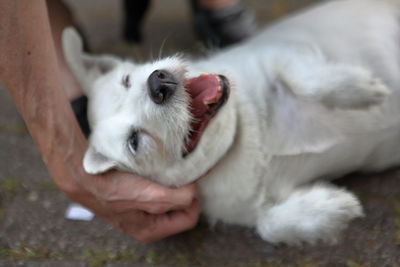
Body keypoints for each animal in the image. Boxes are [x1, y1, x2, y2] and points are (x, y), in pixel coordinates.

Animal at [62, 0, 400, 246]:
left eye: (126, 80)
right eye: (134, 141)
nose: (158, 83)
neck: (241, 136)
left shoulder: (281, 53)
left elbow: (309, 81)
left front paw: (360, 88)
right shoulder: (251, 209)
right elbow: (268, 225)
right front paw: (332, 207)